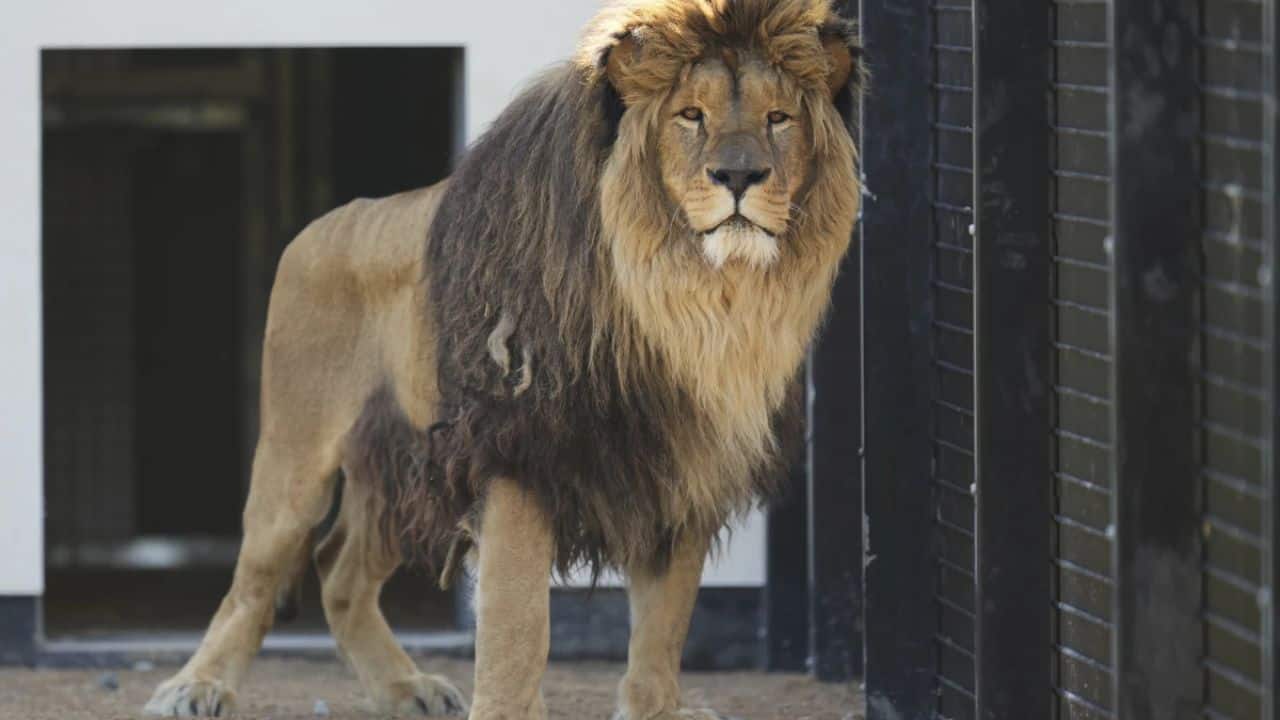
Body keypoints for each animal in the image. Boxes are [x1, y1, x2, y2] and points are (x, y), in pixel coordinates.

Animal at [144, 1, 863, 718]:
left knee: (337, 570)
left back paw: (406, 688)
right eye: (691, 115)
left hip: (405, 461)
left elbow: (666, 619)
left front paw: (656, 709)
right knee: (256, 578)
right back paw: (196, 687)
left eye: (779, 118)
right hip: (297, 453)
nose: (739, 176)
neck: (690, 300)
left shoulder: (684, 463)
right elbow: (519, 622)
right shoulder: (516, 449)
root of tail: (327, 221)